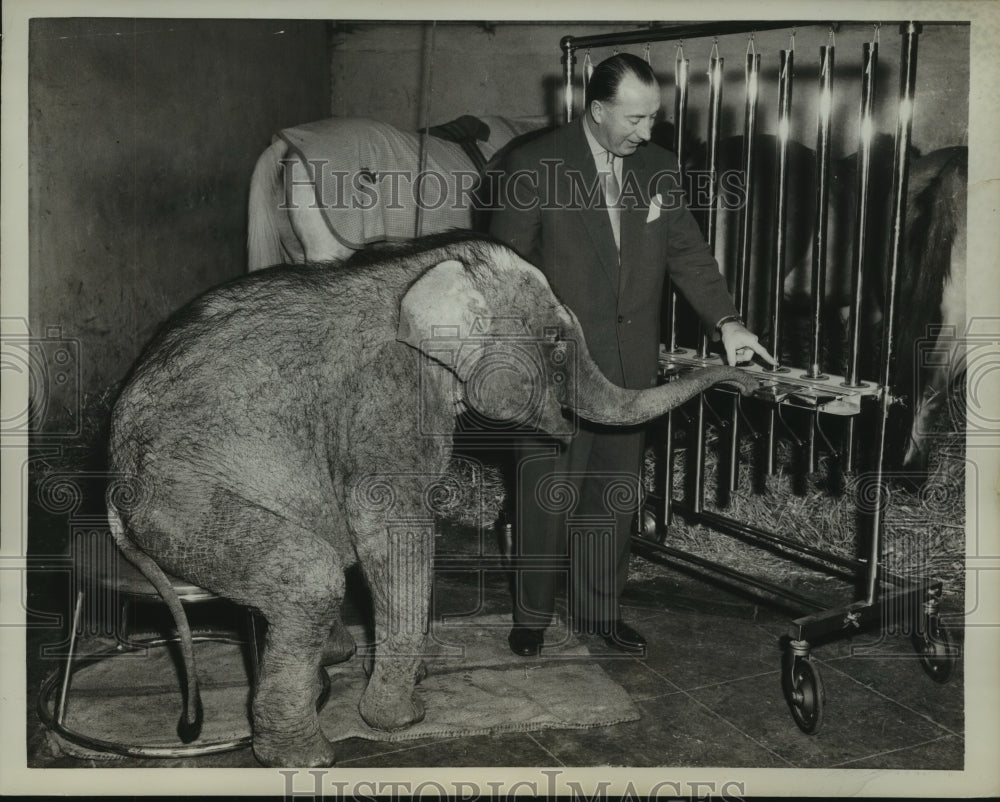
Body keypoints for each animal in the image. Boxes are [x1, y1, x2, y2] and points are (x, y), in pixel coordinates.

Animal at [105, 228, 752, 764]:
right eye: (556, 346)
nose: (743, 366)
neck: (420, 268)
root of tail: (113, 488)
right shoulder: (387, 391)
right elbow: (394, 524)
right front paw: (402, 719)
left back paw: (334, 658)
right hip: (180, 504)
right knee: (311, 574)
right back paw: (306, 756)